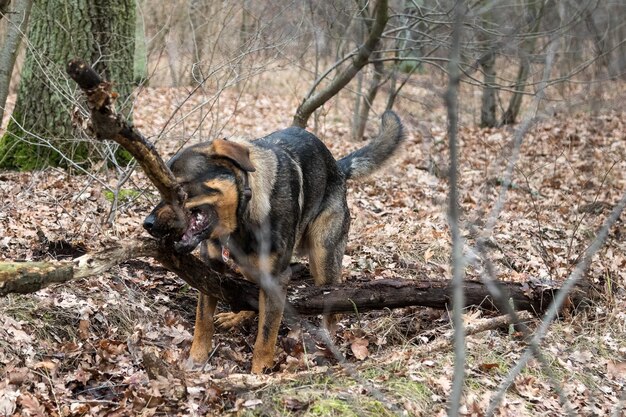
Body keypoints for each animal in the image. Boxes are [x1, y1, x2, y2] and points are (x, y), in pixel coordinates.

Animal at [143, 111, 404, 374]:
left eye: (179, 188)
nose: (148, 224)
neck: (243, 215)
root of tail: (337, 168)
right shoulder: (211, 271)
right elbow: (203, 320)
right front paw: (195, 360)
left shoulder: (277, 278)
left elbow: (266, 335)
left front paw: (259, 373)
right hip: (251, 265)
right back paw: (238, 316)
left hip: (323, 259)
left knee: (332, 307)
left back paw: (327, 342)